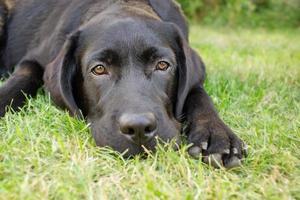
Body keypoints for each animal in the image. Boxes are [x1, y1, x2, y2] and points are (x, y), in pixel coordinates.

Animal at [0, 0, 246, 167]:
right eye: (99, 69)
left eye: (162, 65)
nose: (138, 128)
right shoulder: (34, 59)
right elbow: (24, 78)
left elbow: (198, 94)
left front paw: (217, 135)